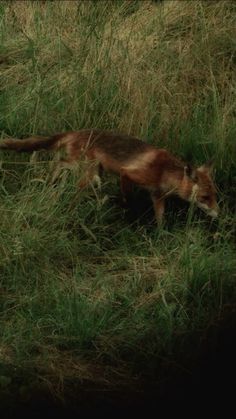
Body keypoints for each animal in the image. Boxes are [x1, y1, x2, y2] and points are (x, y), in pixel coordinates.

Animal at [0, 130, 218, 223]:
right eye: (205, 197)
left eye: (214, 196)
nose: (218, 214)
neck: (164, 171)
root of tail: (75, 132)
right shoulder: (128, 174)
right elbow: (127, 198)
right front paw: (126, 210)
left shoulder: (157, 196)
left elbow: (160, 219)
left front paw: (160, 236)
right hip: (89, 174)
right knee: (61, 165)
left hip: (89, 169)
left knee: (59, 162)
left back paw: (51, 180)